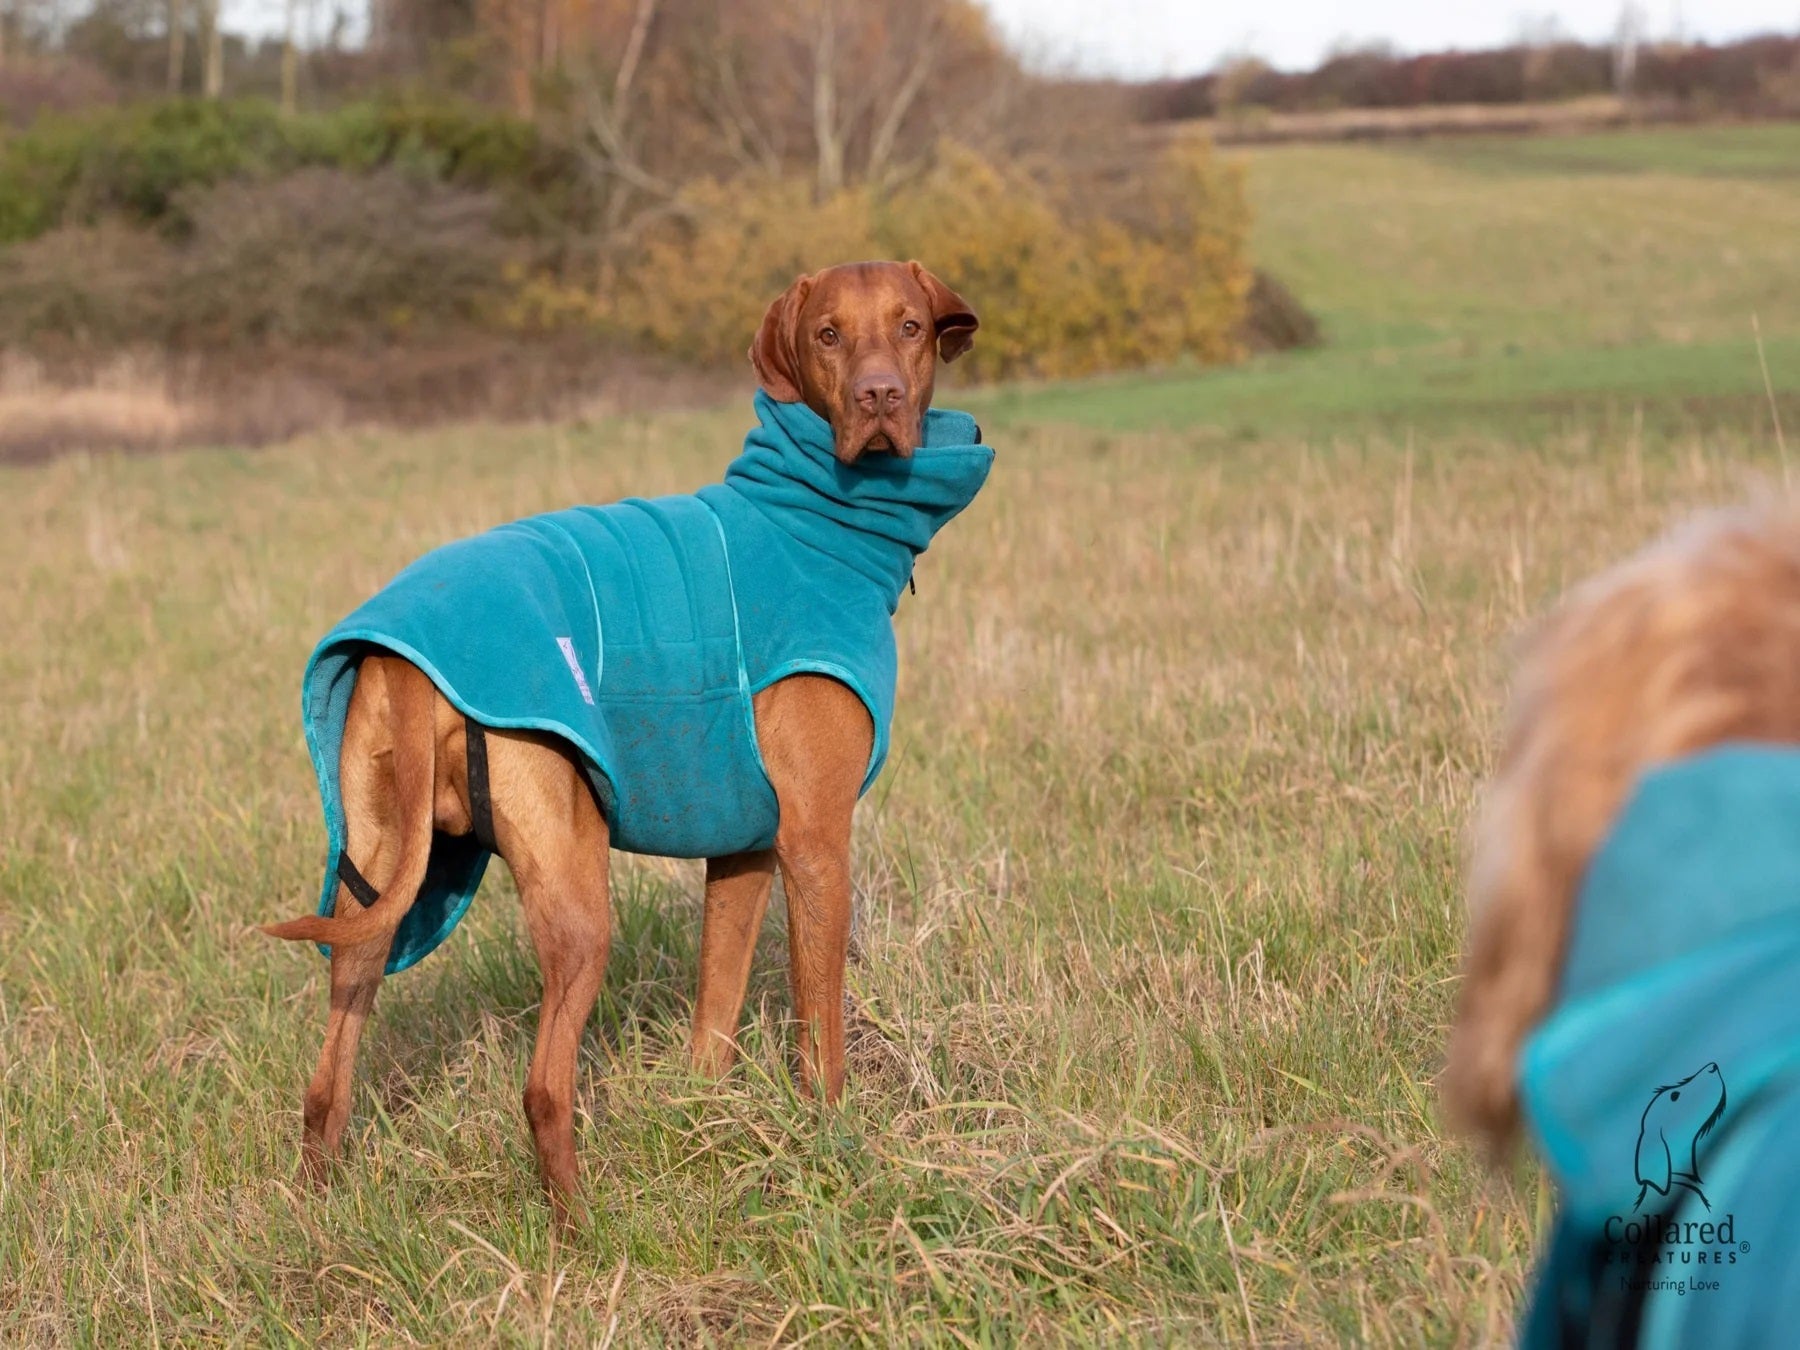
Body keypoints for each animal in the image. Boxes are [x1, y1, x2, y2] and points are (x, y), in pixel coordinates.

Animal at [262, 259, 986, 1224]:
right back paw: (581, 1230)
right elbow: (821, 1034)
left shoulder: (747, 851)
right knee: (543, 1088)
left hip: (372, 888)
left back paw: (318, 1212)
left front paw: (704, 1127)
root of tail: (405, 661)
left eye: (909, 326)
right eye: (829, 334)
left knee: (327, 1083)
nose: (880, 395)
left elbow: (714, 1016)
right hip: (574, 892)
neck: (811, 522)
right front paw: (838, 1149)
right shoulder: (817, 841)